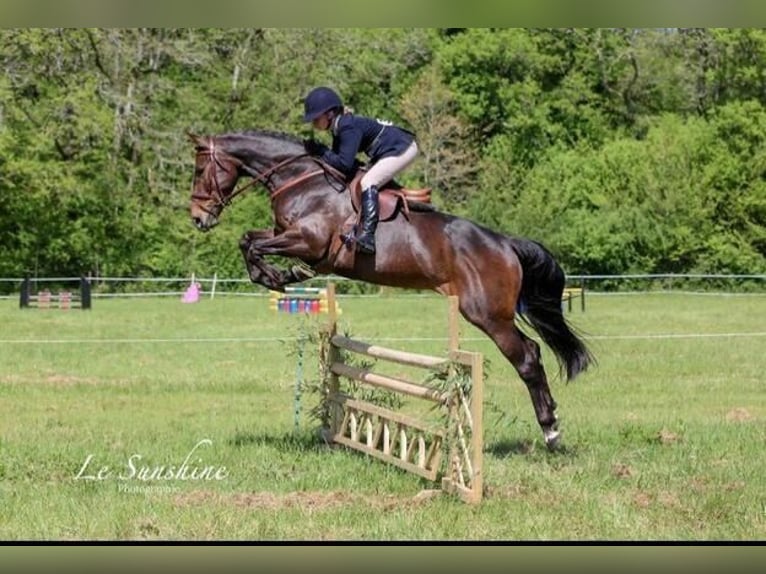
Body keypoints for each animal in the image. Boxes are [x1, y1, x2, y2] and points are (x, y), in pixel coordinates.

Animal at [189, 130, 596, 450]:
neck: (302, 180)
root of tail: (505, 243)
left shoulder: (308, 241)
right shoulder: (287, 236)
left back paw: (551, 432)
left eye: (199, 169)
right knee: (532, 352)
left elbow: (253, 244)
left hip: (487, 314)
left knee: (527, 358)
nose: (198, 218)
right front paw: (277, 275)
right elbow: (248, 240)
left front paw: (275, 275)